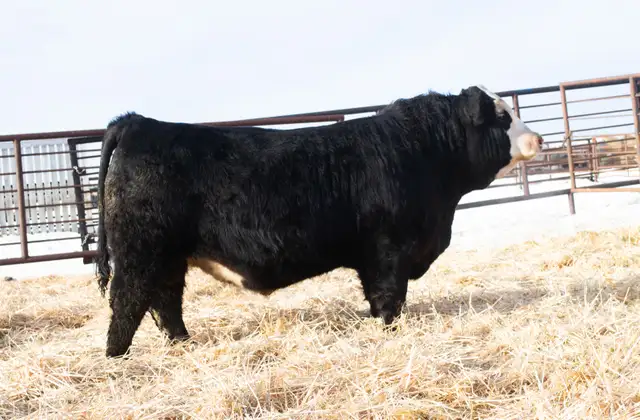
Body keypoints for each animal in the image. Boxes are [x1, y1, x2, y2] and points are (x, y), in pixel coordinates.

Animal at [95, 85, 543, 358]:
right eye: (501, 116)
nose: (538, 138)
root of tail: (139, 122)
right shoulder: (389, 250)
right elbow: (389, 298)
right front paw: (389, 331)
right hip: (139, 252)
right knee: (127, 303)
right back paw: (117, 358)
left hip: (167, 258)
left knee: (165, 303)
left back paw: (185, 345)